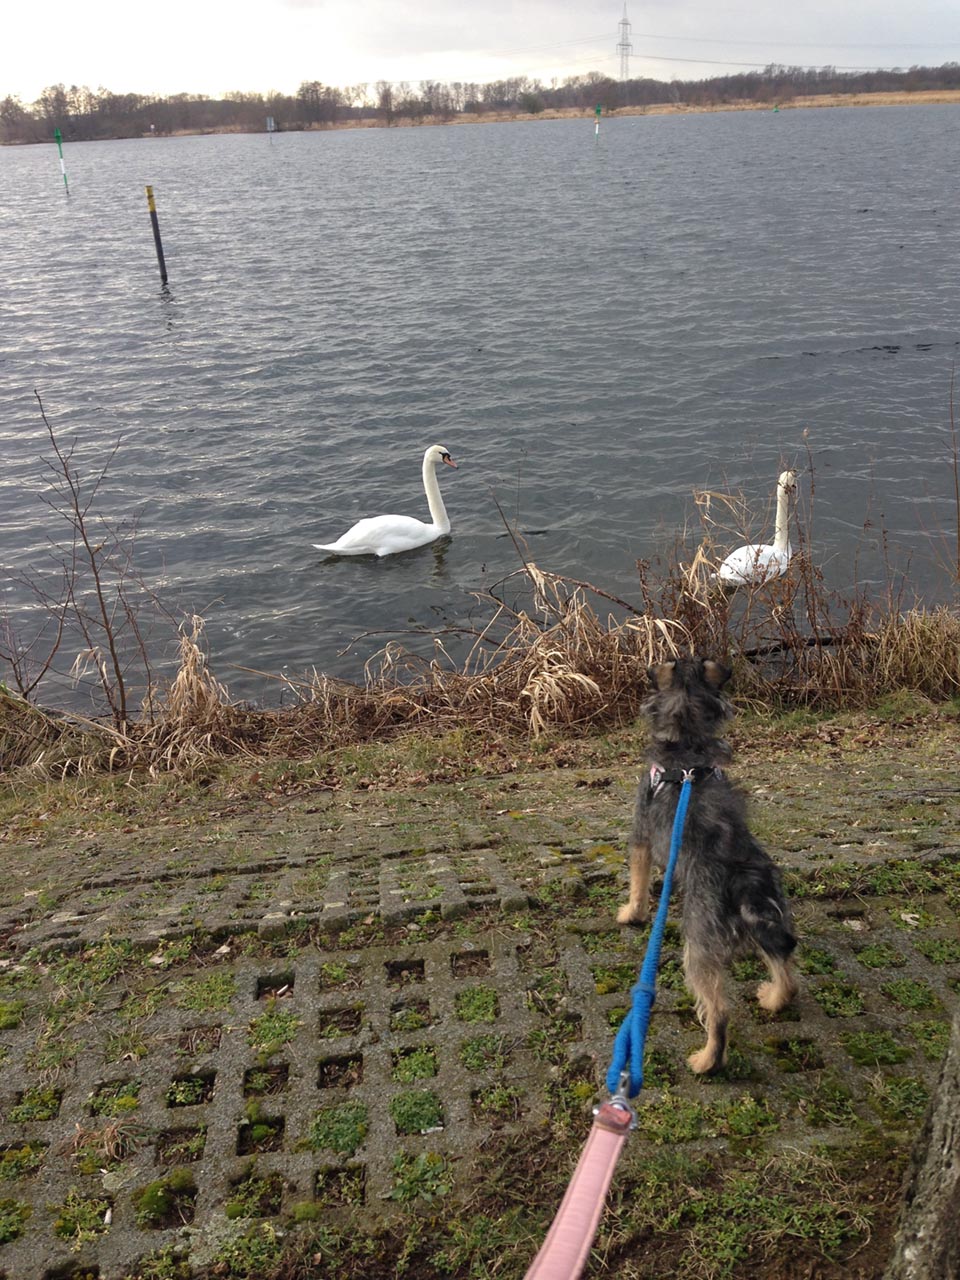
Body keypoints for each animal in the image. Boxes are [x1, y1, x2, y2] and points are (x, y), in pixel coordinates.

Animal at [617, 658, 797, 1074]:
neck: (687, 749)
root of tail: (740, 880)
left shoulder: (641, 833)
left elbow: (637, 881)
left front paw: (631, 914)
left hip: (699, 944)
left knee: (719, 1012)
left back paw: (706, 1061)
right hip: (768, 915)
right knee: (784, 963)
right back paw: (774, 998)